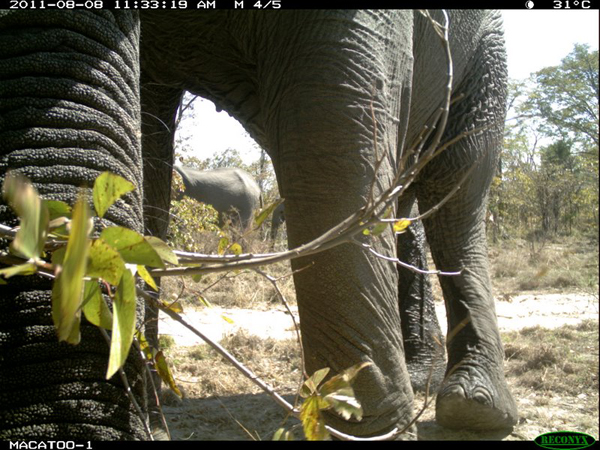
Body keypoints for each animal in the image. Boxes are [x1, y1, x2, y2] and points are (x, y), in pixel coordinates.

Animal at [0, 9, 516, 440]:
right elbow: (146, 136)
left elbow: (330, 123)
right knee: (408, 192)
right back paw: (422, 376)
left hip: (485, 50)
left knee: (460, 181)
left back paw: (474, 408)